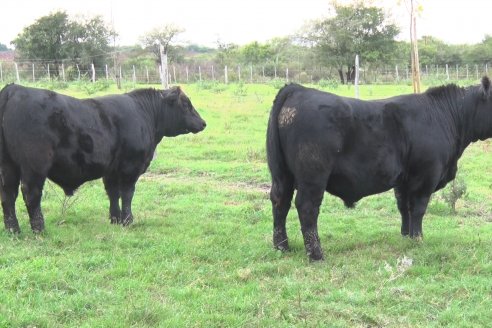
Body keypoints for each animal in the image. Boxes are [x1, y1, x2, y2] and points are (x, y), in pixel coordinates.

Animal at [0, 84, 206, 233]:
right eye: (186, 104)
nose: (203, 123)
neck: (145, 113)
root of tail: (14, 89)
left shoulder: (111, 170)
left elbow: (113, 193)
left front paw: (115, 219)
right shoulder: (130, 168)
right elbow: (127, 194)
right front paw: (128, 221)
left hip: (8, 166)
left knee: (8, 195)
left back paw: (13, 230)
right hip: (34, 166)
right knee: (31, 194)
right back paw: (39, 230)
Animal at [268, 77, 492, 262]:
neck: (446, 115)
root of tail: (298, 89)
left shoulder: (403, 180)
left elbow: (404, 207)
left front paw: (406, 236)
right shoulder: (426, 175)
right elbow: (418, 208)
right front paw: (418, 239)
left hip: (282, 175)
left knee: (280, 202)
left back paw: (282, 247)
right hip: (313, 176)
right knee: (307, 208)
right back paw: (316, 255)